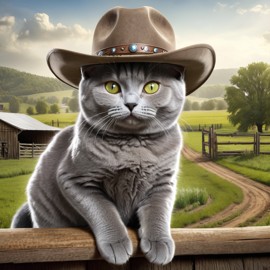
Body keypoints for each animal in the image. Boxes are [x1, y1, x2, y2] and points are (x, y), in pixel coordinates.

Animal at [11, 62, 186, 266]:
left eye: (151, 87)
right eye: (112, 87)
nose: (131, 103)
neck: (132, 146)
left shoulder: (163, 183)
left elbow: (157, 213)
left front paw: (160, 243)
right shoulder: (76, 180)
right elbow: (104, 211)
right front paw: (116, 244)